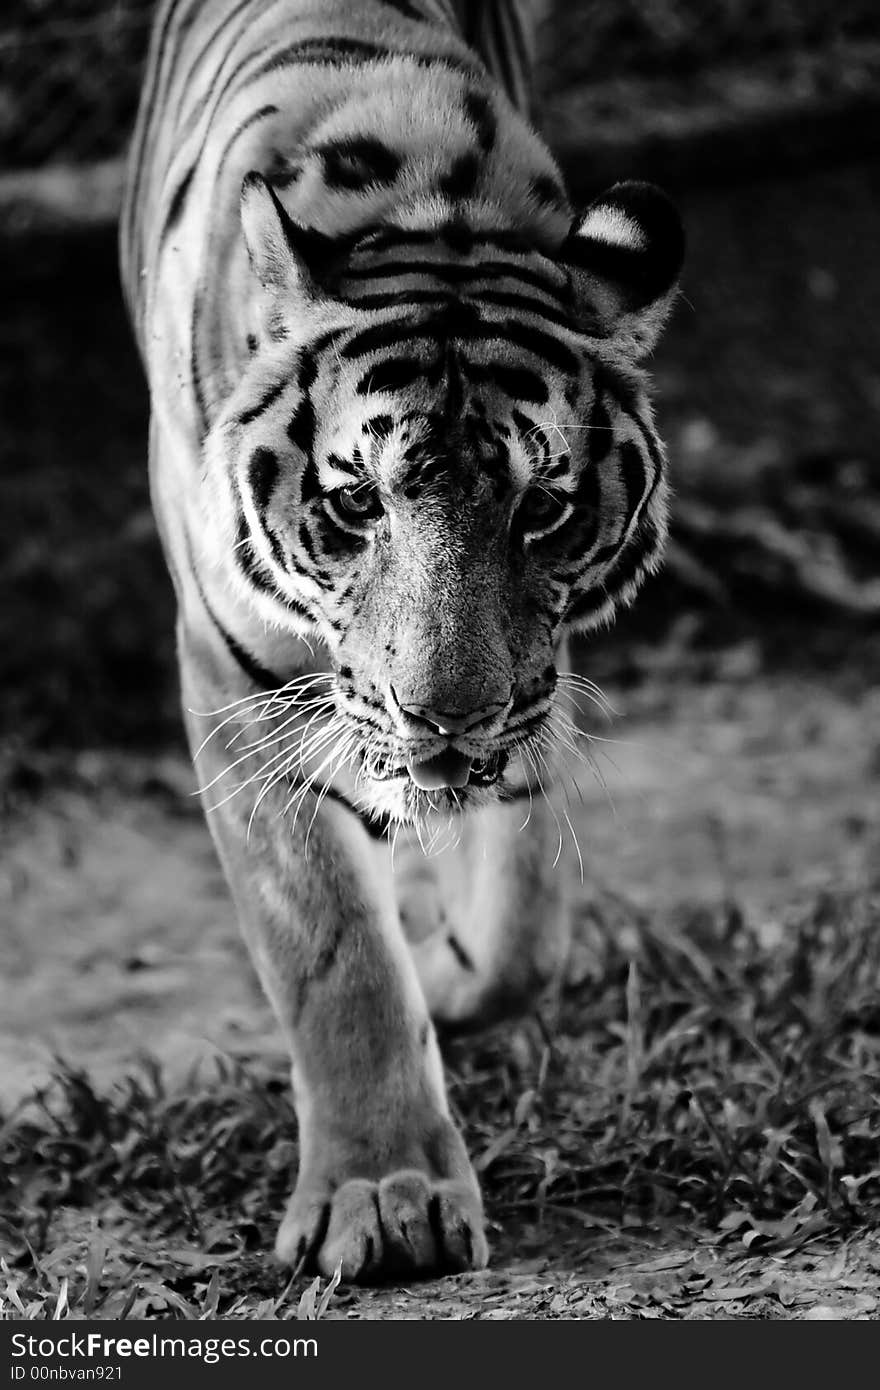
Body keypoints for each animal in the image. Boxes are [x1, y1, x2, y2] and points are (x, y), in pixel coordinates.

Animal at [118, 0, 678, 1278]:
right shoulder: (241, 689)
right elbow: (335, 958)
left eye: (543, 508)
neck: (432, 203)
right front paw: (384, 1197)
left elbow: (521, 929)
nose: (445, 717)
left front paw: (454, 974)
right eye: (354, 500)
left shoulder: (534, 687)